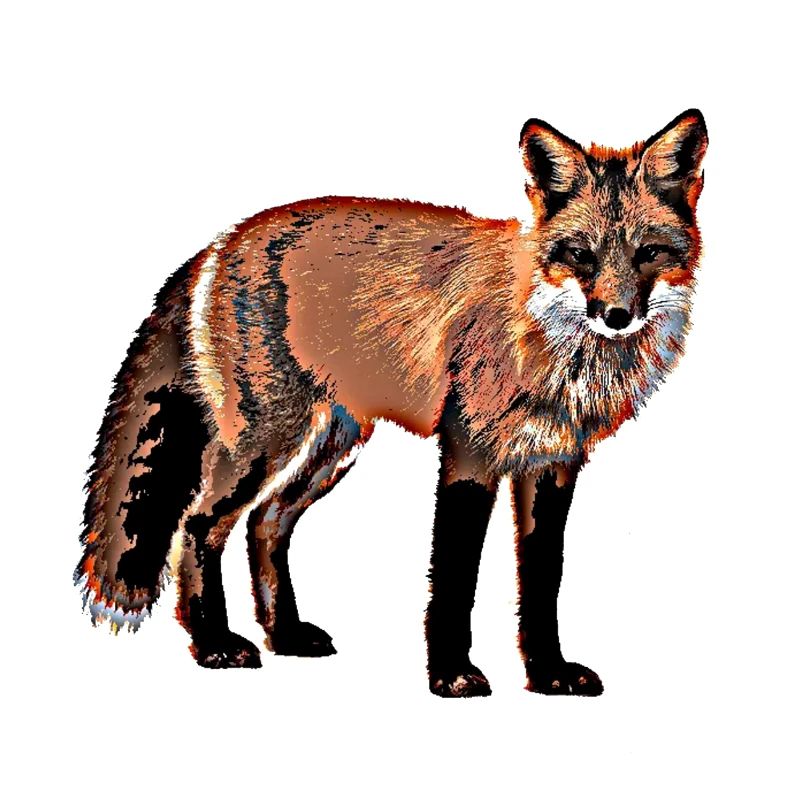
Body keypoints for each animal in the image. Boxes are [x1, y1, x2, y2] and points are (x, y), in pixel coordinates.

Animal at [76, 109, 707, 697]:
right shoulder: (469, 453)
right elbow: (454, 579)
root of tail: (222, 240)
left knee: (265, 522)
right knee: (198, 525)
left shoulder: (553, 464)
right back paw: (213, 644)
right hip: (266, 443)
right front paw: (451, 675)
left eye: (649, 253)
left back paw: (285, 636)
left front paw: (548, 673)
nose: (617, 316)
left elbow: (542, 581)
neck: (555, 348)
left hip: (332, 446)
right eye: (580, 255)